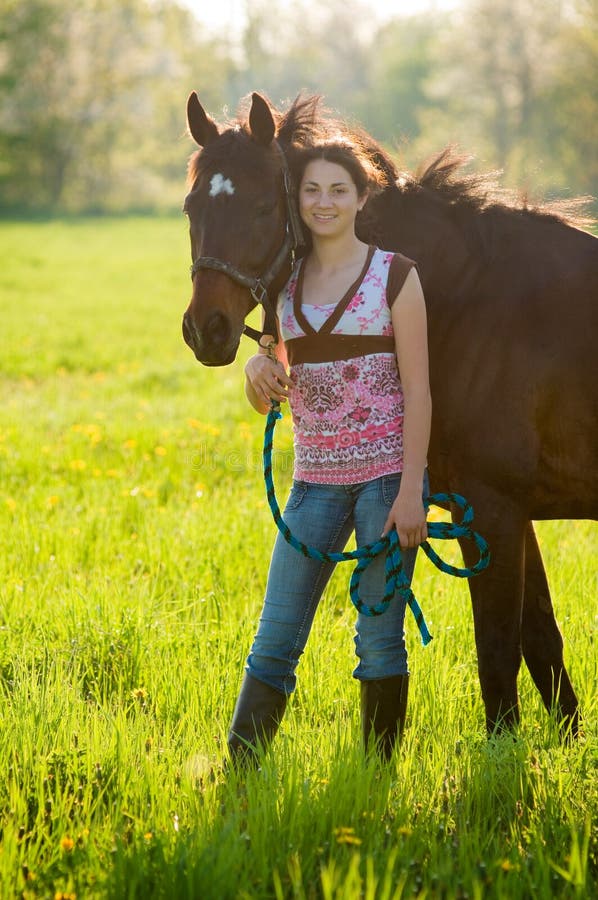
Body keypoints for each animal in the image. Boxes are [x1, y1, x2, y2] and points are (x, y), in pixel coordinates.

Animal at [184, 91, 598, 740]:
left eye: (262, 207)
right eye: (191, 207)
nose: (206, 329)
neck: (472, 302)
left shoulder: (494, 509)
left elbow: (498, 649)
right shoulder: (504, 509)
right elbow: (541, 639)